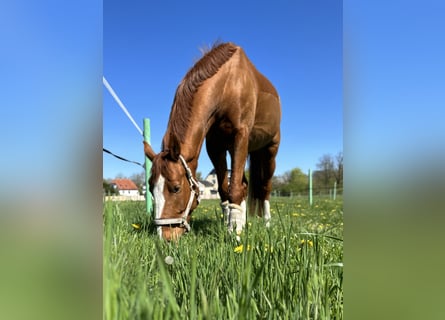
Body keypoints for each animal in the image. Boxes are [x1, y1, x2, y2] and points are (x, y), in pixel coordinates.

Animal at [144, 42, 280, 240]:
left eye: (176, 188)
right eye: (150, 188)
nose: (165, 237)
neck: (228, 84)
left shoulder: (240, 136)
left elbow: (234, 189)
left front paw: (234, 235)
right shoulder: (215, 147)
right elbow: (225, 190)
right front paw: (231, 227)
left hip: (270, 151)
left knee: (265, 188)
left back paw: (267, 224)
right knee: (245, 185)